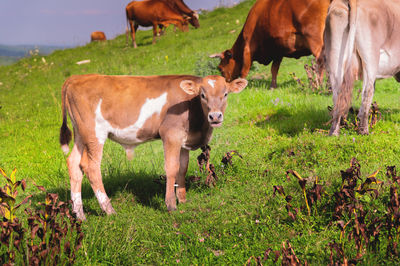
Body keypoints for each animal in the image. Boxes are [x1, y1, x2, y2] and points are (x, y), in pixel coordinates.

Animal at [59, 74, 247, 219]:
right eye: (202, 95)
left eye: (225, 94)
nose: (215, 116)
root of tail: (77, 77)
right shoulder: (170, 135)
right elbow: (171, 168)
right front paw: (171, 204)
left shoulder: (184, 141)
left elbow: (182, 168)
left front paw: (183, 200)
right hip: (94, 134)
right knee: (91, 167)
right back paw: (109, 210)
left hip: (80, 134)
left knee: (74, 164)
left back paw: (80, 215)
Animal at [326, 0, 400, 136]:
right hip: (371, 57)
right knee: (367, 92)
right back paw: (364, 131)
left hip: (334, 59)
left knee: (337, 95)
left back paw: (334, 132)